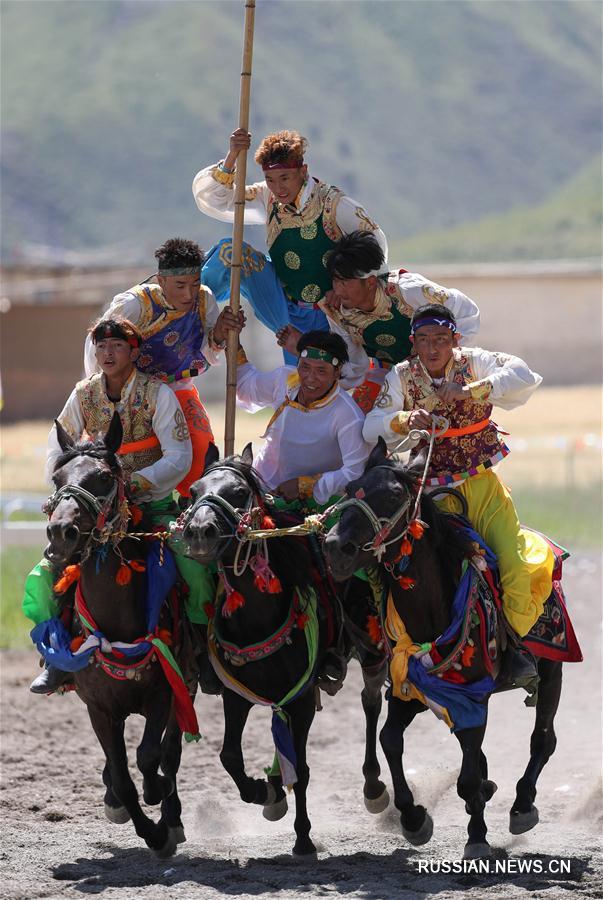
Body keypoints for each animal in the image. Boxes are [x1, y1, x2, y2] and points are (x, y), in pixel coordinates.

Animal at [44, 414, 196, 856]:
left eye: (104, 477)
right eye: (58, 476)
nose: (61, 532)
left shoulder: (165, 692)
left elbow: (150, 757)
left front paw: (160, 811)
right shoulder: (98, 708)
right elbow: (121, 773)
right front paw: (146, 827)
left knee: (170, 753)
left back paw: (172, 815)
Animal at [180, 446, 386, 856]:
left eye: (239, 492)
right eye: (193, 491)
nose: (198, 533)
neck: (256, 618)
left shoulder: (302, 697)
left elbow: (302, 770)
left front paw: (303, 838)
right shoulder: (236, 696)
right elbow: (229, 755)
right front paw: (263, 792)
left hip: (371, 652)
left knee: (371, 702)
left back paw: (374, 789)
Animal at [326, 440, 568, 860]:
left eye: (394, 494)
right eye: (349, 487)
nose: (335, 547)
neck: (432, 608)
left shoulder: (474, 698)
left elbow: (468, 774)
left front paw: (477, 837)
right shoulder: (412, 689)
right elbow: (390, 740)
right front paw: (413, 818)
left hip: (552, 671)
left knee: (543, 739)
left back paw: (522, 806)